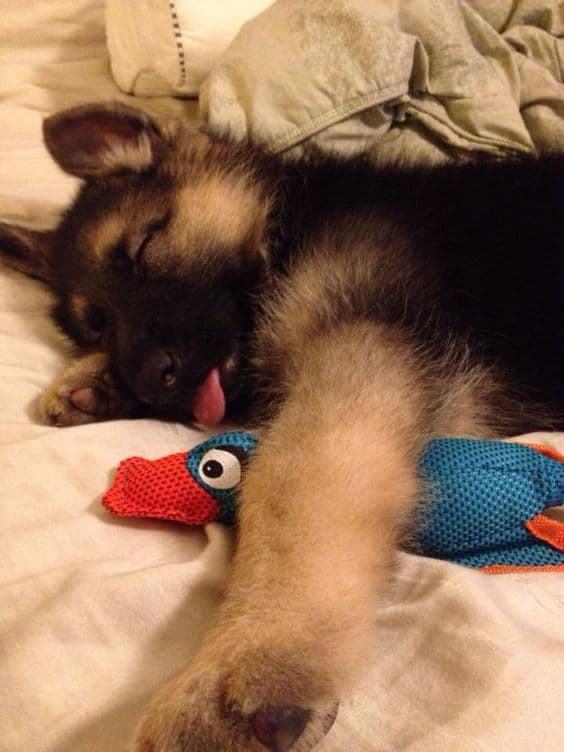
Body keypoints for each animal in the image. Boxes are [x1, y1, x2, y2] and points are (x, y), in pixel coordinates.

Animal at [1, 103, 564, 748]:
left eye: (145, 245)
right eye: (96, 325)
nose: (150, 378)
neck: (293, 224)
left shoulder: (357, 348)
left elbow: (288, 494)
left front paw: (254, 661)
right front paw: (91, 380)